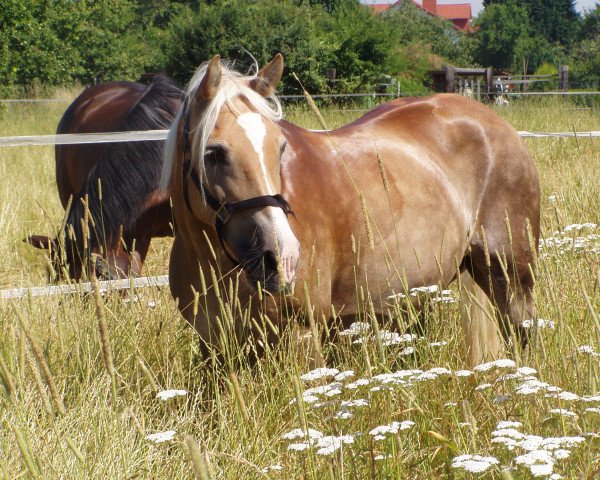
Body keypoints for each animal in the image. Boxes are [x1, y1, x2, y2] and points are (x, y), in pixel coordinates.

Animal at [162, 54, 540, 366]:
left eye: (280, 146)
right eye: (213, 153)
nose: (282, 258)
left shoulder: (303, 336)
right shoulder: (213, 348)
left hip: (512, 282)